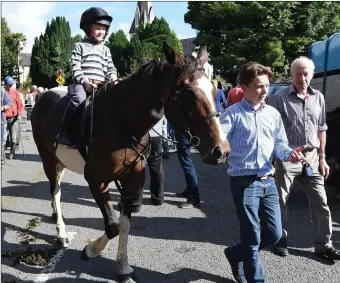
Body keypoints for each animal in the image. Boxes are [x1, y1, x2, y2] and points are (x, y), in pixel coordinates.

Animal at [30, 41, 230, 282]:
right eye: (188, 93)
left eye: (214, 90)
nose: (220, 150)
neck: (122, 122)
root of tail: (44, 96)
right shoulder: (95, 179)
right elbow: (113, 226)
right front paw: (90, 250)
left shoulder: (132, 179)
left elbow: (125, 225)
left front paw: (123, 266)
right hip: (48, 159)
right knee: (55, 192)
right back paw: (61, 233)